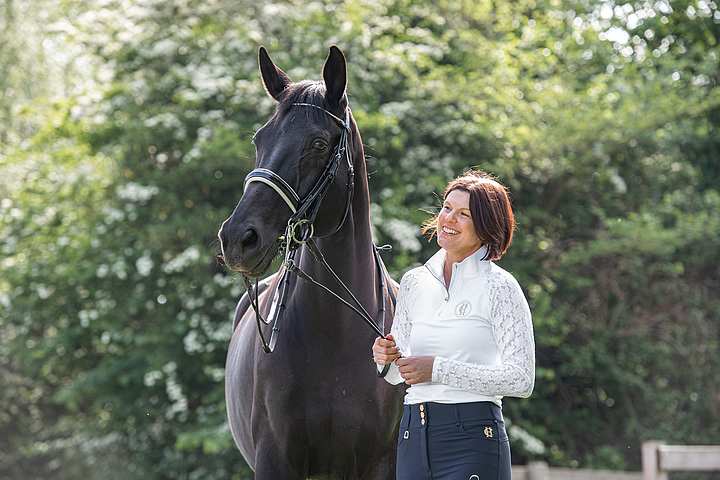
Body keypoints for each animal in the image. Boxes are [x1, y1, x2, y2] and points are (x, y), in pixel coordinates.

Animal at [218, 45, 404, 479]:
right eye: (260, 138)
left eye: (319, 144)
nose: (238, 238)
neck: (334, 333)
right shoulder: (275, 461)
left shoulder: (378, 464)